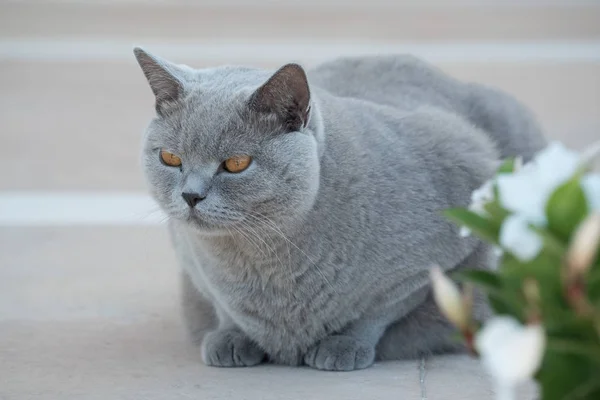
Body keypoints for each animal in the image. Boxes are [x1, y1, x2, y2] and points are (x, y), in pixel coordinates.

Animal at [134, 47, 548, 372]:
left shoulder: (437, 248)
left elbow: (381, 307)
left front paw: (342, 345)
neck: (264, 258)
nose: (190, 196)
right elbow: (221, 303)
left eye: (236, 164)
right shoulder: (191, 259)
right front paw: (231, 337)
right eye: (170, 158)